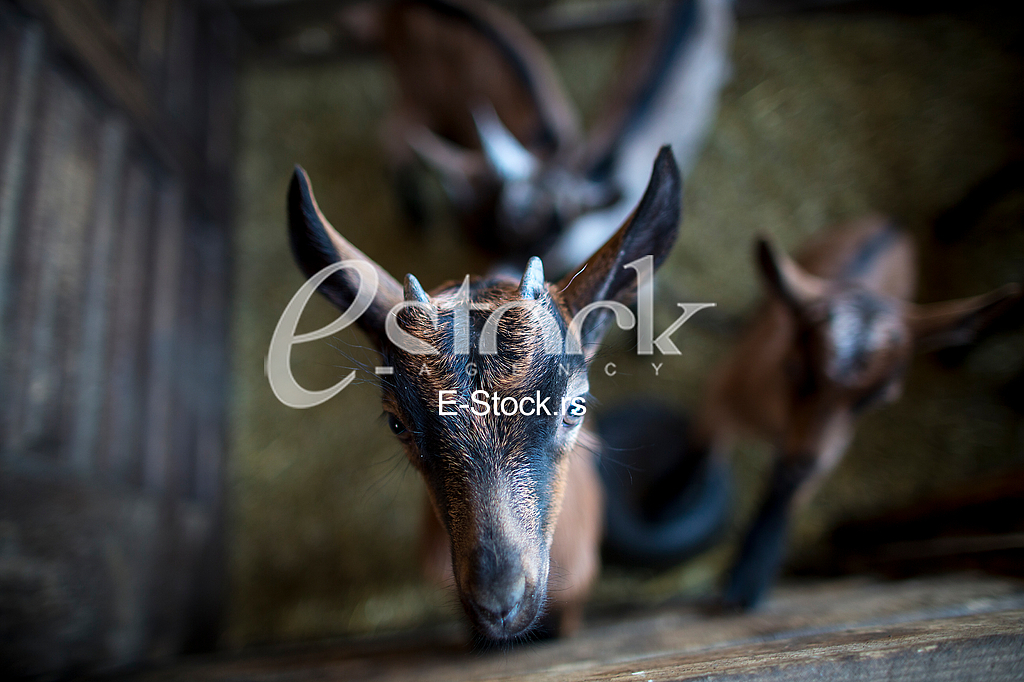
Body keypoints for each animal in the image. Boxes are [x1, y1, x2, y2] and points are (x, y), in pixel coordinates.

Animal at [692, 216, 1020, 610]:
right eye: (793, 369)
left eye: (879, 399)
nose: (801, 462)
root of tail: (892, 225)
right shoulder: (722, 393)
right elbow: (703, 454)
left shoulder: (830, 447)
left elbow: (789, 488)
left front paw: (750, 577)